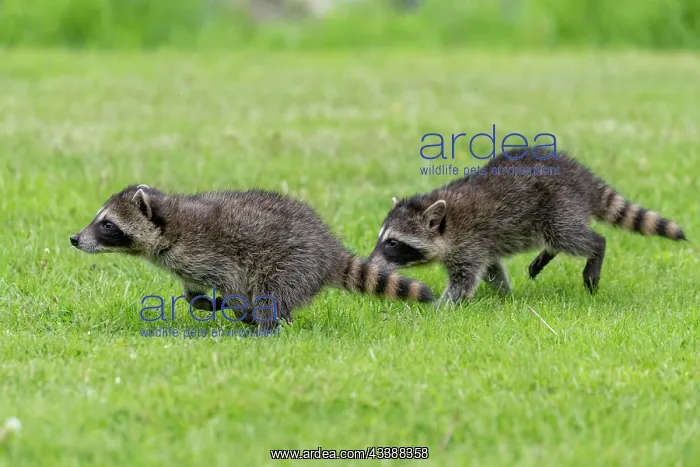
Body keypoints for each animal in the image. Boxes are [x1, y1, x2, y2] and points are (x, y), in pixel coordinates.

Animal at [70, 185, 435, 330]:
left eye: (107, 224)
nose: (74, 238)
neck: (170, 224)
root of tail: (329, 249)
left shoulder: (211, 250)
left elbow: (233, 281)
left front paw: (237, 308)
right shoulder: (185, 264)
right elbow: (193, 295)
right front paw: (205, 303)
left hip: (293, 260)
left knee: (273, 292)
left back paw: (266, 324)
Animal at [369, 146, 687, 305]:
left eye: (393, 243)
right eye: (381, 238)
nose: (369, 263)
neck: (446, 224)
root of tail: (583, 177)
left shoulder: (469, 242)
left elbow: (464, 281)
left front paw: (440, 306)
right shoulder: (479, 247)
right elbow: (493, 270)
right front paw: (504, 296)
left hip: (559, 204)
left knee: (575, 237)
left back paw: (595, 251)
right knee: (559, 239)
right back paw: (546, 254)